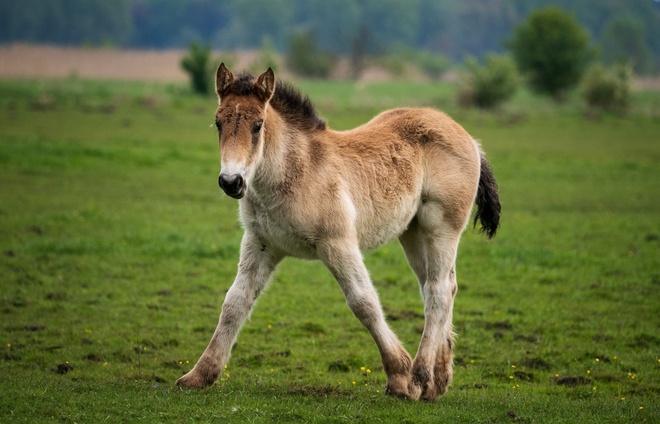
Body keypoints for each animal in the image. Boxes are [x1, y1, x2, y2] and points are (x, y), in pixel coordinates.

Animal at [177, 63, 500, 400]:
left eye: (258, 125)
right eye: (218, 123)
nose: (231, 182)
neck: (296, 172)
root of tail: (468, 137)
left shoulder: (338, 243)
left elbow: (363, 302)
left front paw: (399, 376)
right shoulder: (261, 243)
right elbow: (235, 303)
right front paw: (199, 375)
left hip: (441, 228)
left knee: (438, 291)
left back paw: (421, 376)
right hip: (412, 233)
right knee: (440, 286)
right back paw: (437, 382)